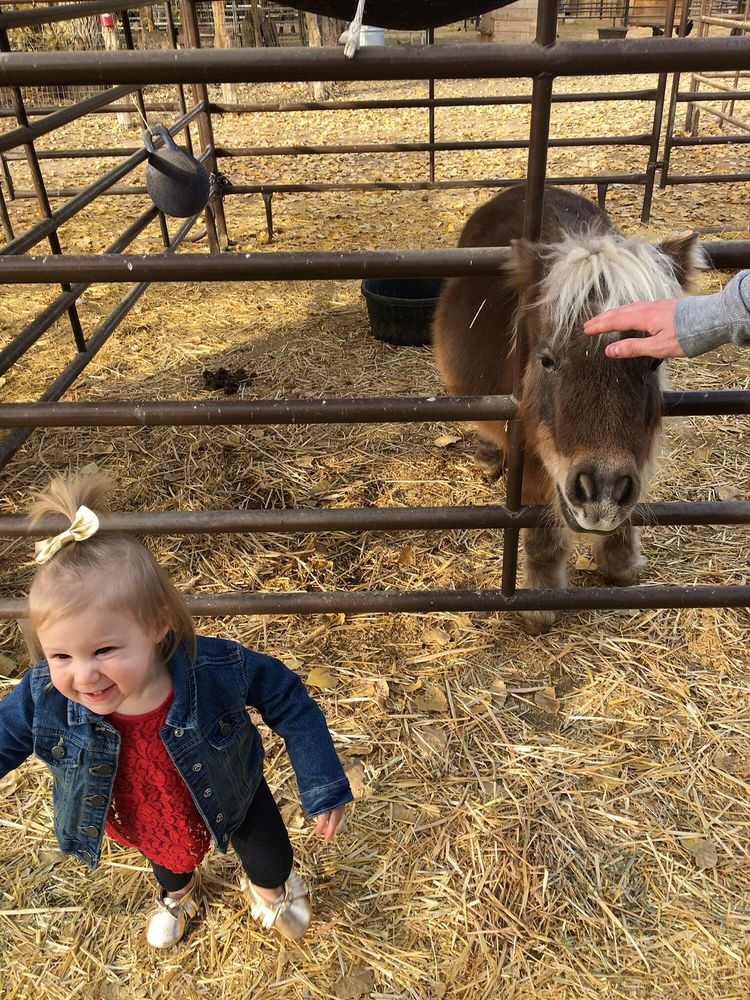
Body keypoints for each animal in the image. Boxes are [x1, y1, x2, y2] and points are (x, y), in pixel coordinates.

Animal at [432, 185, 698, 633]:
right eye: (547, 359)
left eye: (652, 362)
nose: (603, 491)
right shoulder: (530, 458)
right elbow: (542, 533)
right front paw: (540, 600)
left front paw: (622, 560)